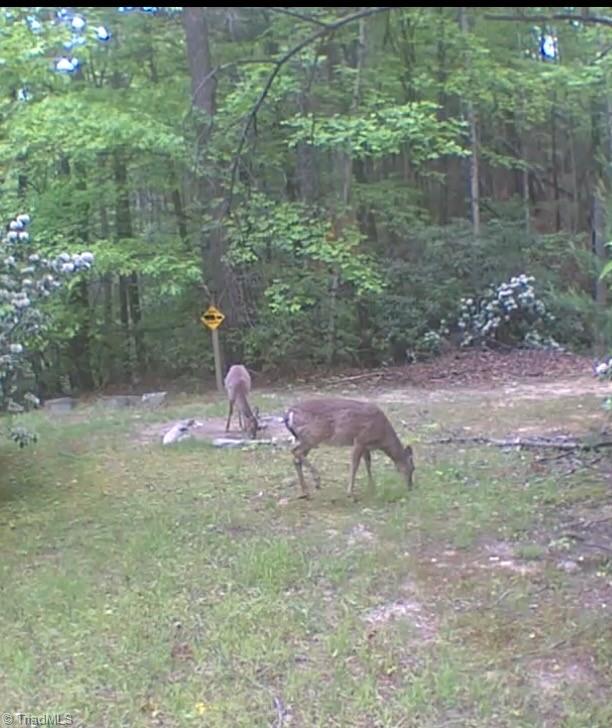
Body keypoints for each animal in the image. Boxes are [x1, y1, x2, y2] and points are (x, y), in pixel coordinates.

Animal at [283, 398, 414, 499]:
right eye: (413, 468)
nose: (410, 487)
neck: (382, 436)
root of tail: (289, 412)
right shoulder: (359, 440)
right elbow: (355, 465)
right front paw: (350, 493)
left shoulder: (366, 446)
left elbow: (368, 463)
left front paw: (371, 486)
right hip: (314, 435)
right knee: (295, 451)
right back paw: (317, 480)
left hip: (306, 438)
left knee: (296, 457)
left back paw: (306, 492)